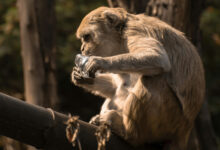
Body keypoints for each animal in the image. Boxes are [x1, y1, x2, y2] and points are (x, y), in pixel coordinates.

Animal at [71, 6, 205, 149]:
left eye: (86, 37)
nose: (82, 48)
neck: (121, 36)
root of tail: (185, 130)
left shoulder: (133, 31)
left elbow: (158, 59)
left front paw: (99, 62)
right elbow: (115, 86)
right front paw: (82, 78)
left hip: (171, 123)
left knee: (153, 80)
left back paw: (128, 133)